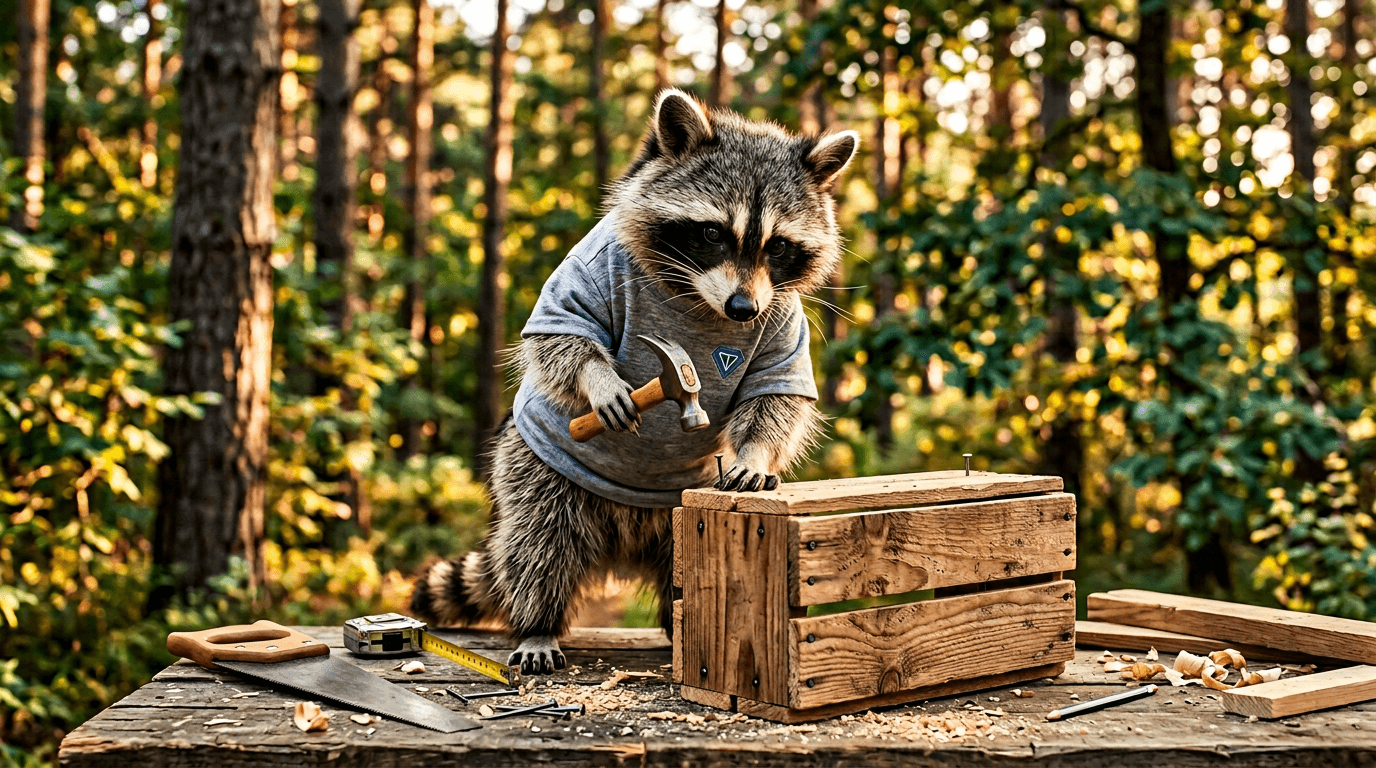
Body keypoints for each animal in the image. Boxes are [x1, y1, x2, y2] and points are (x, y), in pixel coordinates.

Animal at [411, 89, 858, 675]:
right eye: (712, 233)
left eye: (778, 246)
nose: (742, 309)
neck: (698, 299)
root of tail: (622, 541)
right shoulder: (593, 267)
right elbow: (560, 337)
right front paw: (599, 377)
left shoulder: (781, 318)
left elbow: (777, 398)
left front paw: (755, 453)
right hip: (532, 465)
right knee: (538, 537)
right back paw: (537, 622)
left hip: (674, 519)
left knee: (677, 574)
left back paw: (678, 629)